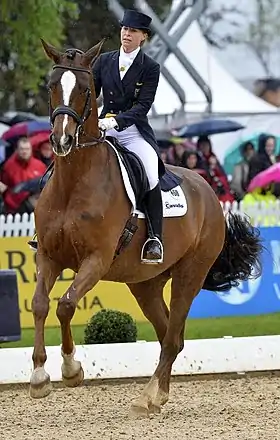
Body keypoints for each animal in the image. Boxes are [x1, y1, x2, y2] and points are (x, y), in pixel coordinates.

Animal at [29, 37, 264, 416]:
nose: (61, 141)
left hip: (189, 275)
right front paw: (38, 378)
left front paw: (71, 370)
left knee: (173, 336)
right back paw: (156, 395)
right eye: (51, 86)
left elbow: (65, 304)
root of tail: (209, 191)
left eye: (84, 89)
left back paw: (148, 396)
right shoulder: (48, 256)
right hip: (146, 284)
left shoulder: (95, 261)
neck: (73, 182)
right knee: (170, 333)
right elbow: (40, 305)